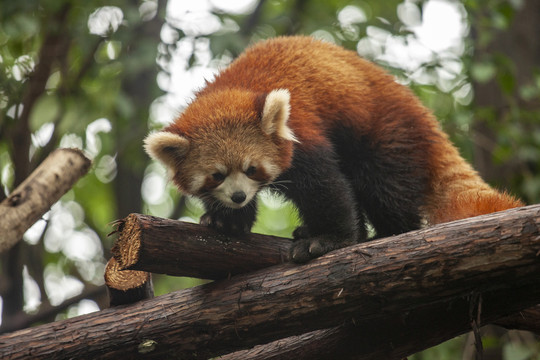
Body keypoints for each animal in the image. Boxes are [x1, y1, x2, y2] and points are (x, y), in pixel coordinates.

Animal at [143, 35, 524, 262]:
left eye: (252, 169)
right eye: (217, 176)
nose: (238, 197)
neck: (232, 87)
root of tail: (419, 110)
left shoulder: (304, 133)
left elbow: (326, 187)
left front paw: (328, 240)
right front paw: (226, 219)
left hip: (384, 135)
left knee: (383, 190)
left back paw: (388, 234)